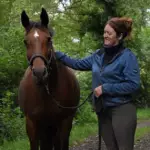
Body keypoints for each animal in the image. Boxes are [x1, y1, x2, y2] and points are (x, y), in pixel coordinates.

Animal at [18, 7, 80, 150]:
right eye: (25, 41)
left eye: (48, 39)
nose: (40, 73)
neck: (47, 91)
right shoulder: (32, 124)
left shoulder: (64, 122)